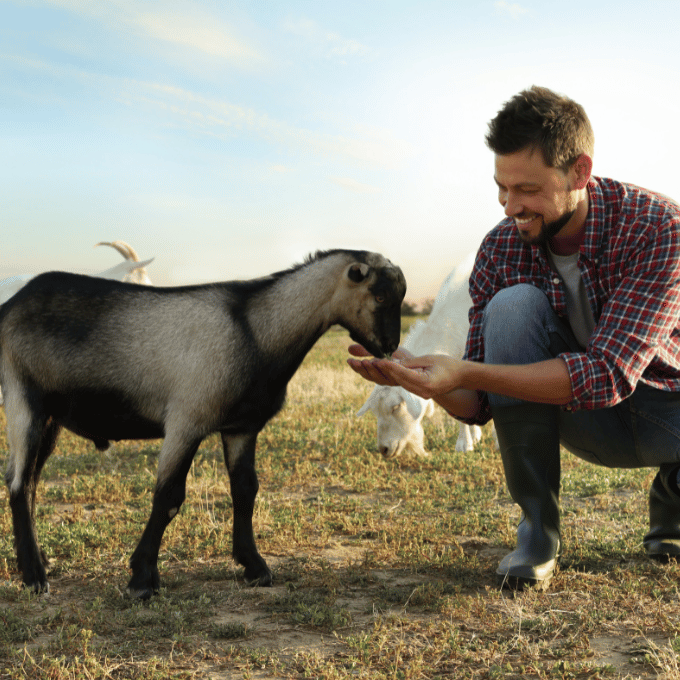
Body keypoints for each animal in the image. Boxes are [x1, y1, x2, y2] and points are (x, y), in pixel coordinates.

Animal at [1, 248, 404, 596]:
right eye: (381, 295)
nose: (389, 346)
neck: (254, 330)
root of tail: (11, 306)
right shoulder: (187, 420)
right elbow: (168, 497)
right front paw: (142, 580)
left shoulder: (241, 427)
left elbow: (245, 489)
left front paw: (254, 566)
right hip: (23, 398)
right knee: (19, 483)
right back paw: (35, 577)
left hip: (50, 416)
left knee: (30, 480)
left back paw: (37, 563)